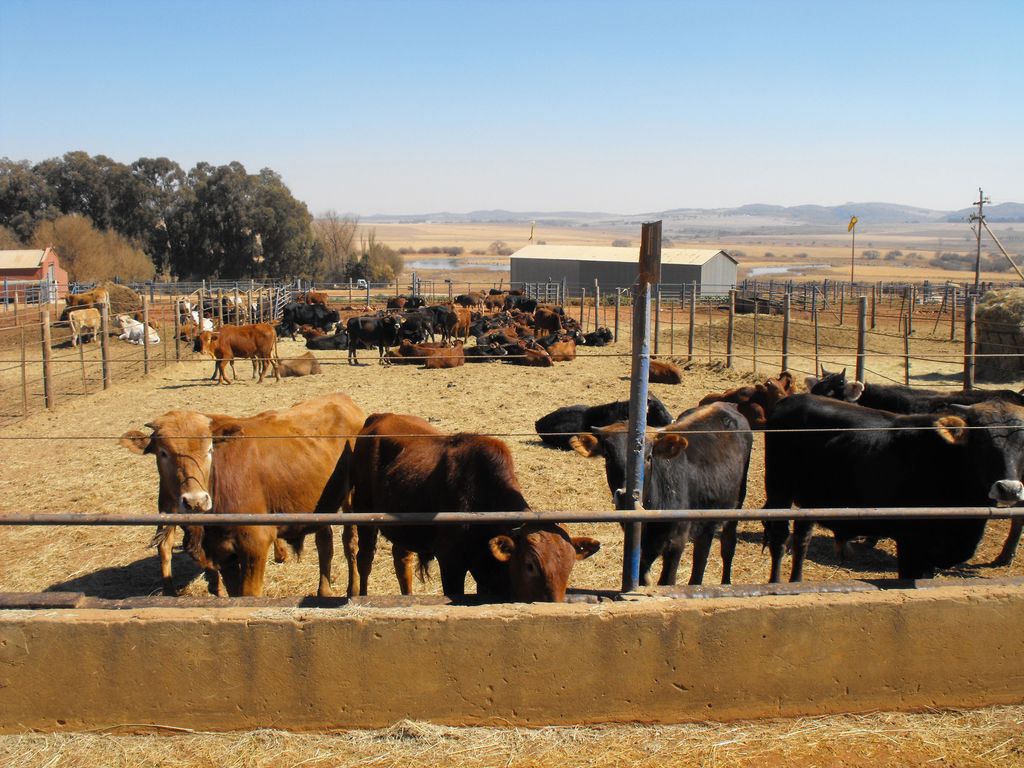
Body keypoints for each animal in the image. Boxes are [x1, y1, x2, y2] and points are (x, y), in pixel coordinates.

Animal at [118, 393, 366, 598]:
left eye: (209, 449)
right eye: (163, 452)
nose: (196, 500)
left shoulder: (255, 544)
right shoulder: (223, 553)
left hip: (351, 500)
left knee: (350, 543)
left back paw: (353, 590)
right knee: (325, 543)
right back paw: (324, 591)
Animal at [344, 415, 598, 602]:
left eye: (570, 565)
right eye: (530, 565)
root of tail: (377, 417)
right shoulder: (450, 563)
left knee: (401, 562)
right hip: (364, 512)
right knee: (365, 559)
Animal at [573, 403, 749, 581]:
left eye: (649, 457)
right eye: (608, 456)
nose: (624, 495)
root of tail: (723, 405)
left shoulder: (676, 542)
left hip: (737, 503)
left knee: (728, 544)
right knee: (702, 552)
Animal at [765, 397, 1024, 581]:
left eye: (1022, 442)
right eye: (981, 440)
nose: (1009, 489)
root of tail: (791, 399)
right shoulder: (910, 543)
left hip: (810, 498)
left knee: (802, 538)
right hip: (779, 490)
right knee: (779, 539)